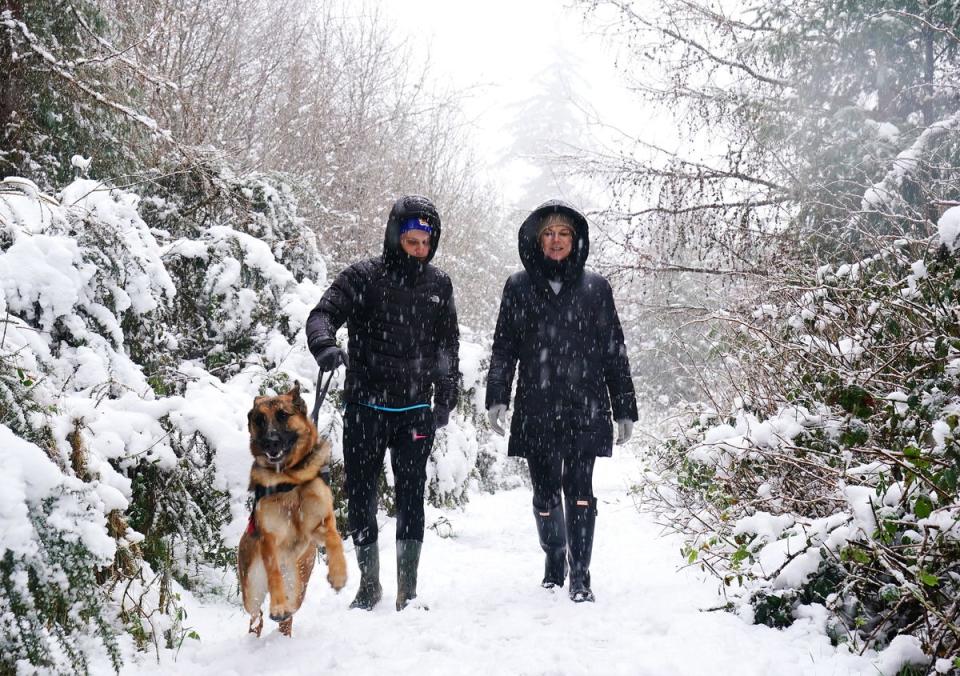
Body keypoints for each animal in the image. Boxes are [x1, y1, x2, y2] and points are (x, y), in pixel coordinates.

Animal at [238, 382, 346, 636]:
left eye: (283, 415)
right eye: (259, 420)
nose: (270, 442)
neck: (290, 477)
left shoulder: (319, 524)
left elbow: (335, 537)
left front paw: (338, 574)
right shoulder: (269, 539)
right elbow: (274, 572)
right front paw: (277, 606)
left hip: (298, 589)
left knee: (289, 614)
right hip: (251, 591)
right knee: (256, 614)